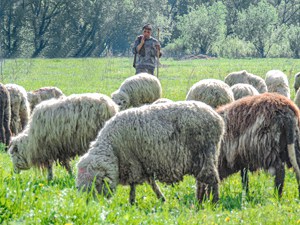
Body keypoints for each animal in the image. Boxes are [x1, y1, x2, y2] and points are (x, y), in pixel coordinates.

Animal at [76, 101, 224, 205]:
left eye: (95, 184)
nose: (92, 205)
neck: (112, 148)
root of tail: (217, 119)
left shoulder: (132, 162)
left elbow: (134, 185)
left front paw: (132, 203)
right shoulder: (143, 163)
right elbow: (151, 183)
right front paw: (161, 199)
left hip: (206, 152)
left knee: (211, 179)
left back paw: (214, 202)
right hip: (204, 157)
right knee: (203, 180)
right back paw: (201, 200)